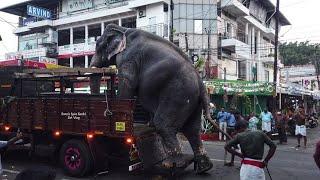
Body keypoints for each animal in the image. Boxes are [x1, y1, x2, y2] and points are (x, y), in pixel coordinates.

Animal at [90, 23, 230, 173]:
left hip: (179, 94)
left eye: (98, 45)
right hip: (193, 100)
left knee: (164, 125)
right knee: (192, 130)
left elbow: (128, 83)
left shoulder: (129, 58)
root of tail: (201, 83)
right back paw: (204, 168)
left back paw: (172, 164)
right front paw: (147, 124)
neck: (123, 30)